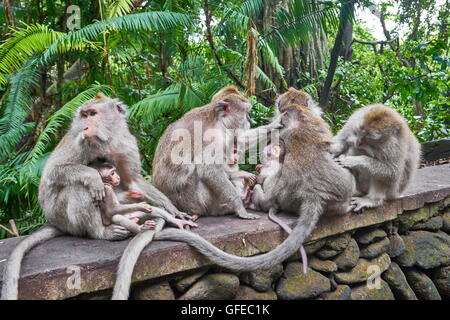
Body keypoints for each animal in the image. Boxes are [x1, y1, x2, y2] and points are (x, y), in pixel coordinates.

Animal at [0, 93, 190, 300]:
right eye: (84, 115)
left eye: (92, 114)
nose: (85, 126)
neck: (106, 140)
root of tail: (54, 222)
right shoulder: (79, 141)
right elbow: (54, 171)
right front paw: (93, 177)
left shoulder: (126, 144)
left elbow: (133, 180)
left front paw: (171, 209)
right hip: (62, 215)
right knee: (79, 188)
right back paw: (101, 231)